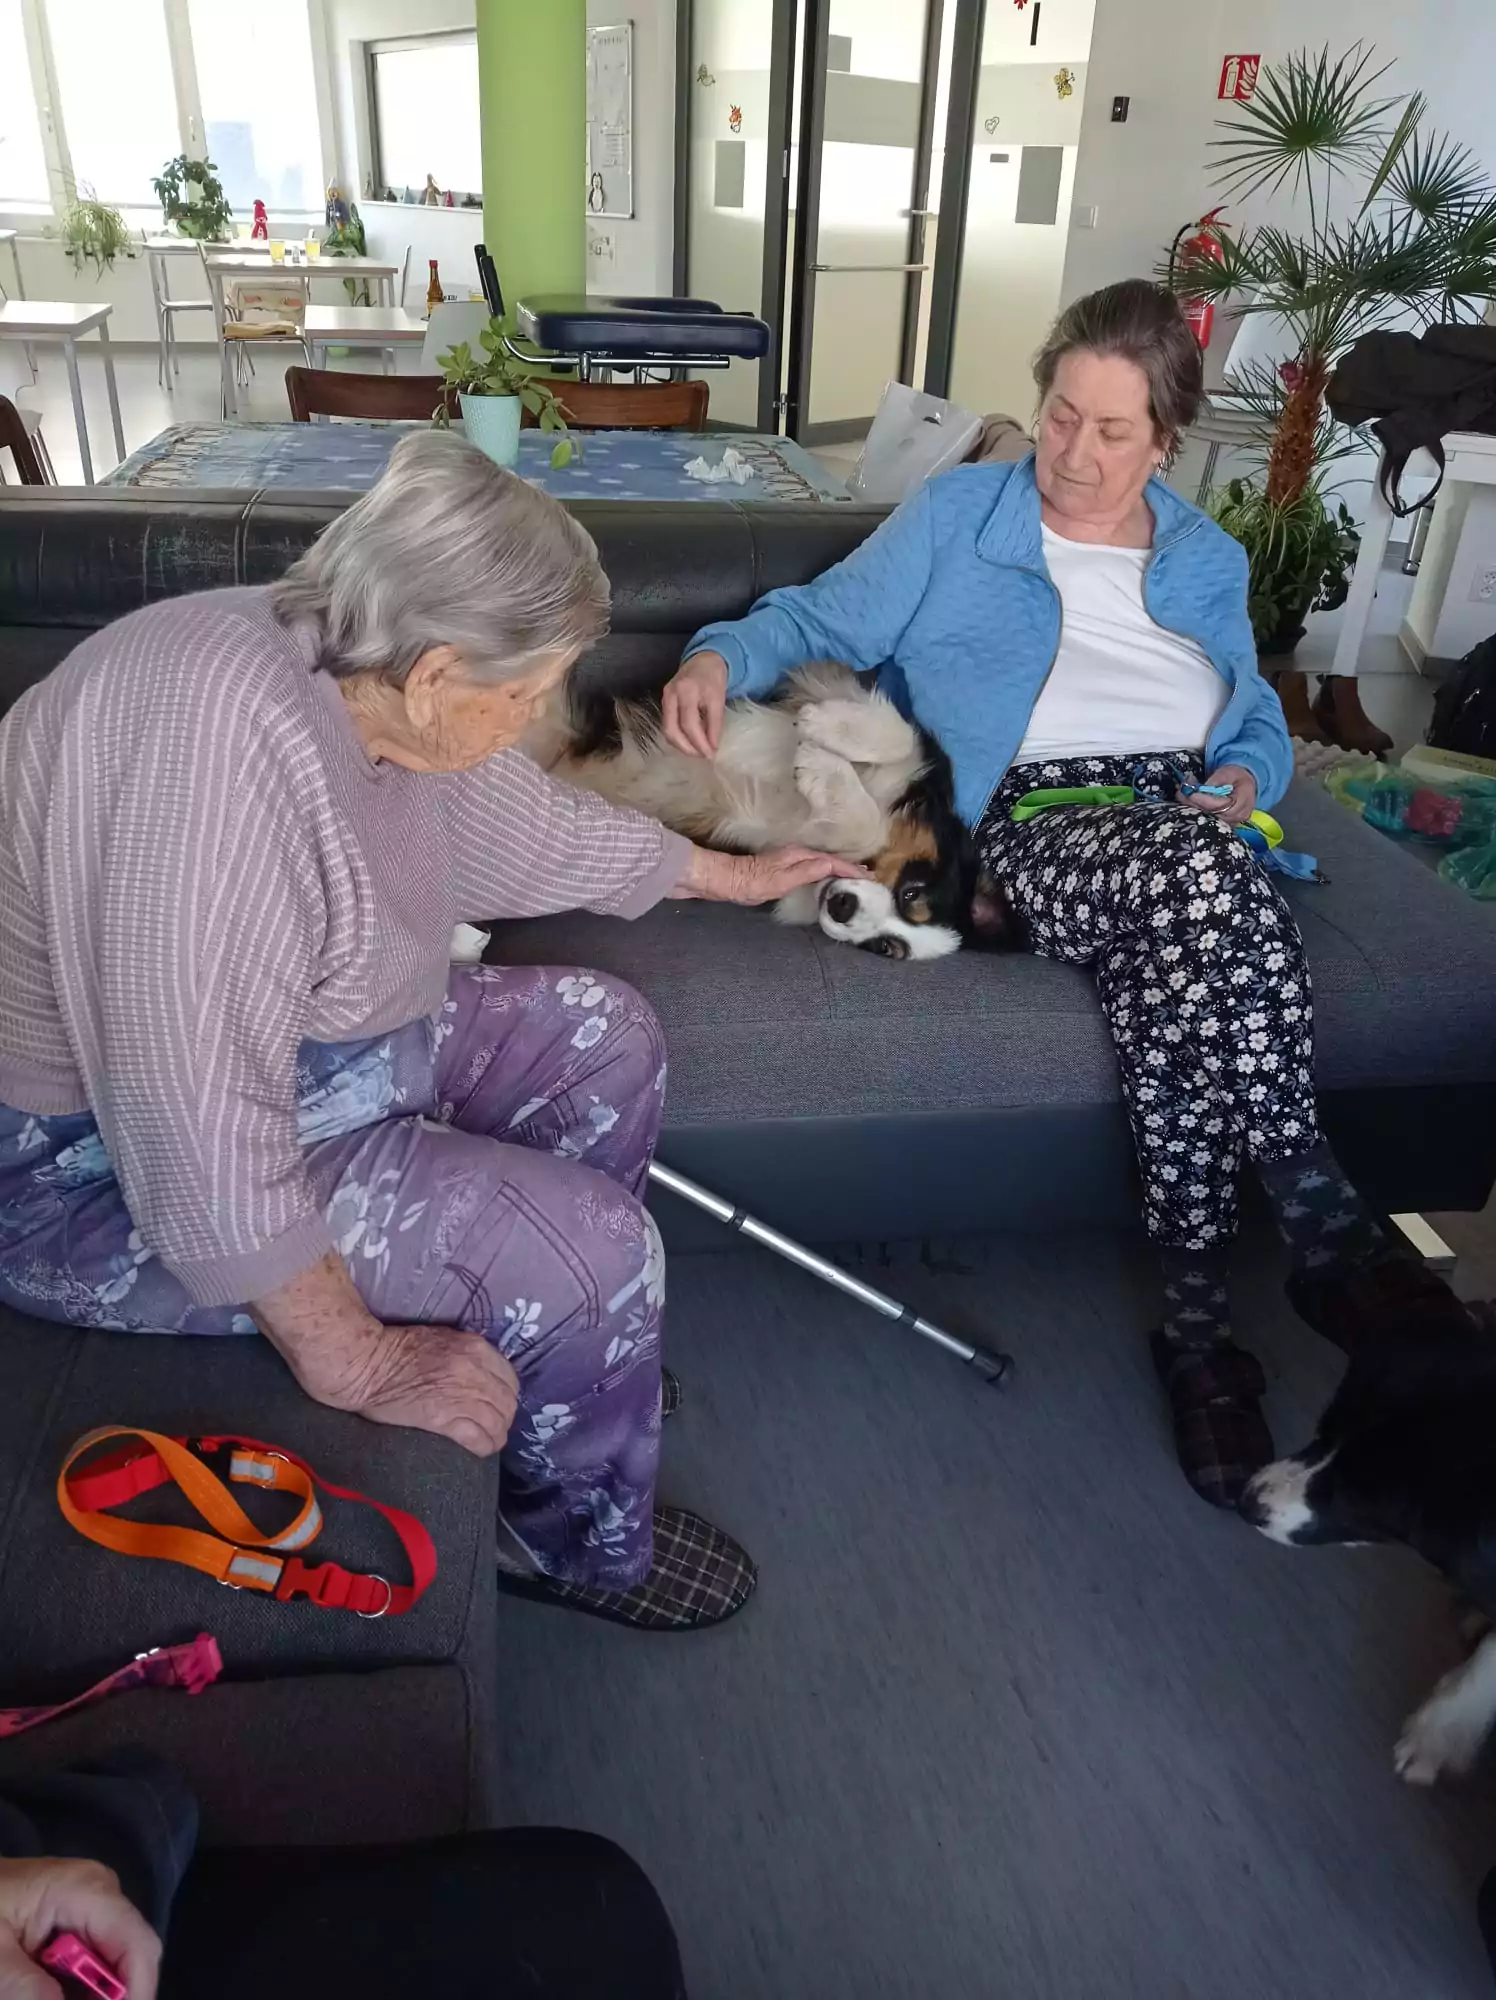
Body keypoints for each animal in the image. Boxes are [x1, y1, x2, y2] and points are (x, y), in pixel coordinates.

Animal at [541, 662, 1012, 960]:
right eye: (911, 893)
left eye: (884, 948)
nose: (841, 907)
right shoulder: (913, 759)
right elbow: (898, 733)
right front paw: (823, 728)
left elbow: (861, 824)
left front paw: (818, 767)